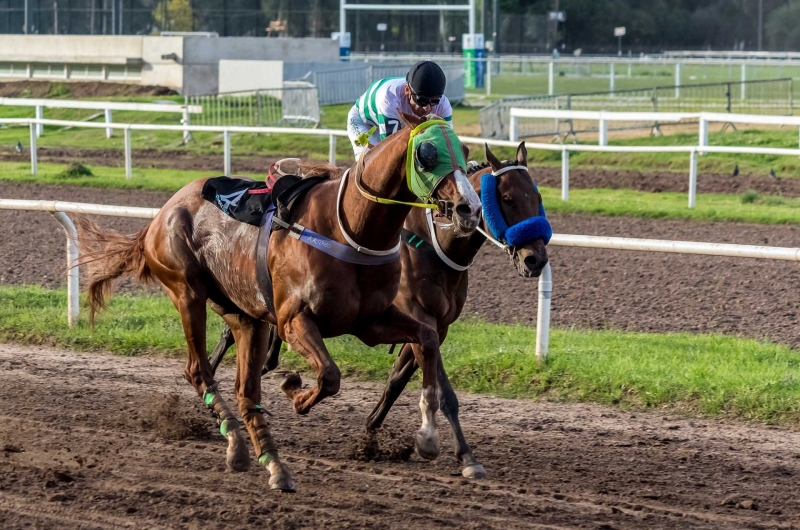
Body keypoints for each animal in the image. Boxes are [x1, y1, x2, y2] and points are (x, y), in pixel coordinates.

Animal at [76, 114, 482, 490]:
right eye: (427, 154)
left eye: (465, 152)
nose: (469, 209)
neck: (352, 228)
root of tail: (160, 214)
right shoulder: (293, 320)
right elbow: (330, 376)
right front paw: (295, 392)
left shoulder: (372, 321)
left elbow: (426, 340)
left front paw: (428, 437)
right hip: (187, 291)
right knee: (198, 371)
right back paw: (238, 441)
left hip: (244, 315)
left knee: (245, 390)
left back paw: (270, 464)